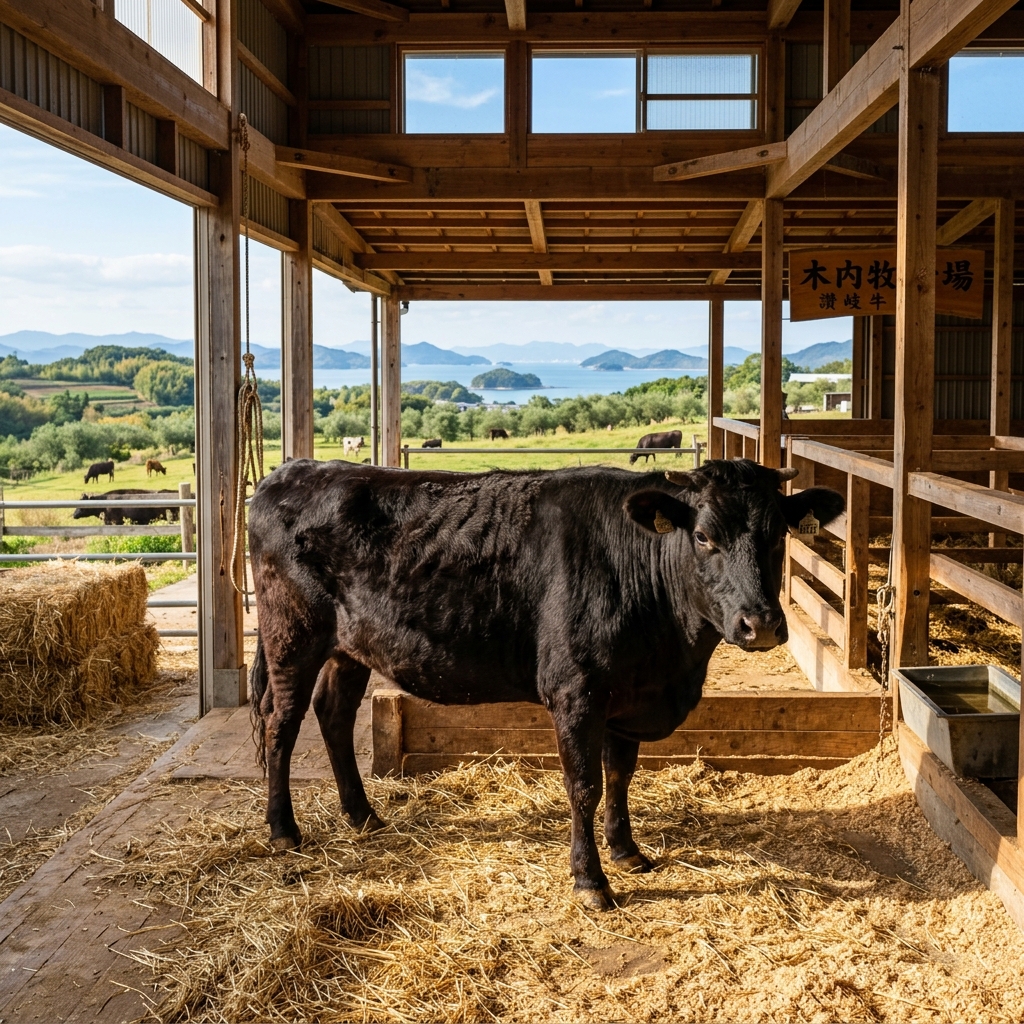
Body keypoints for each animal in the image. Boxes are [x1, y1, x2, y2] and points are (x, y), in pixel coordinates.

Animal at [248, 458, 844, 909]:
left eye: (778, 534)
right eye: (703, 536)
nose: (760, 623)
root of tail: (294, 470)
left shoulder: (627, 696)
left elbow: (620, 776)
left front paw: (627, 851)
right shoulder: (576, 693)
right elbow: (584, 785)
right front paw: (591, 881)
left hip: (349, 646)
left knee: (333, 712)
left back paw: (363, 816)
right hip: (291, 634)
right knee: (281, 721)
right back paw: (283, 829)